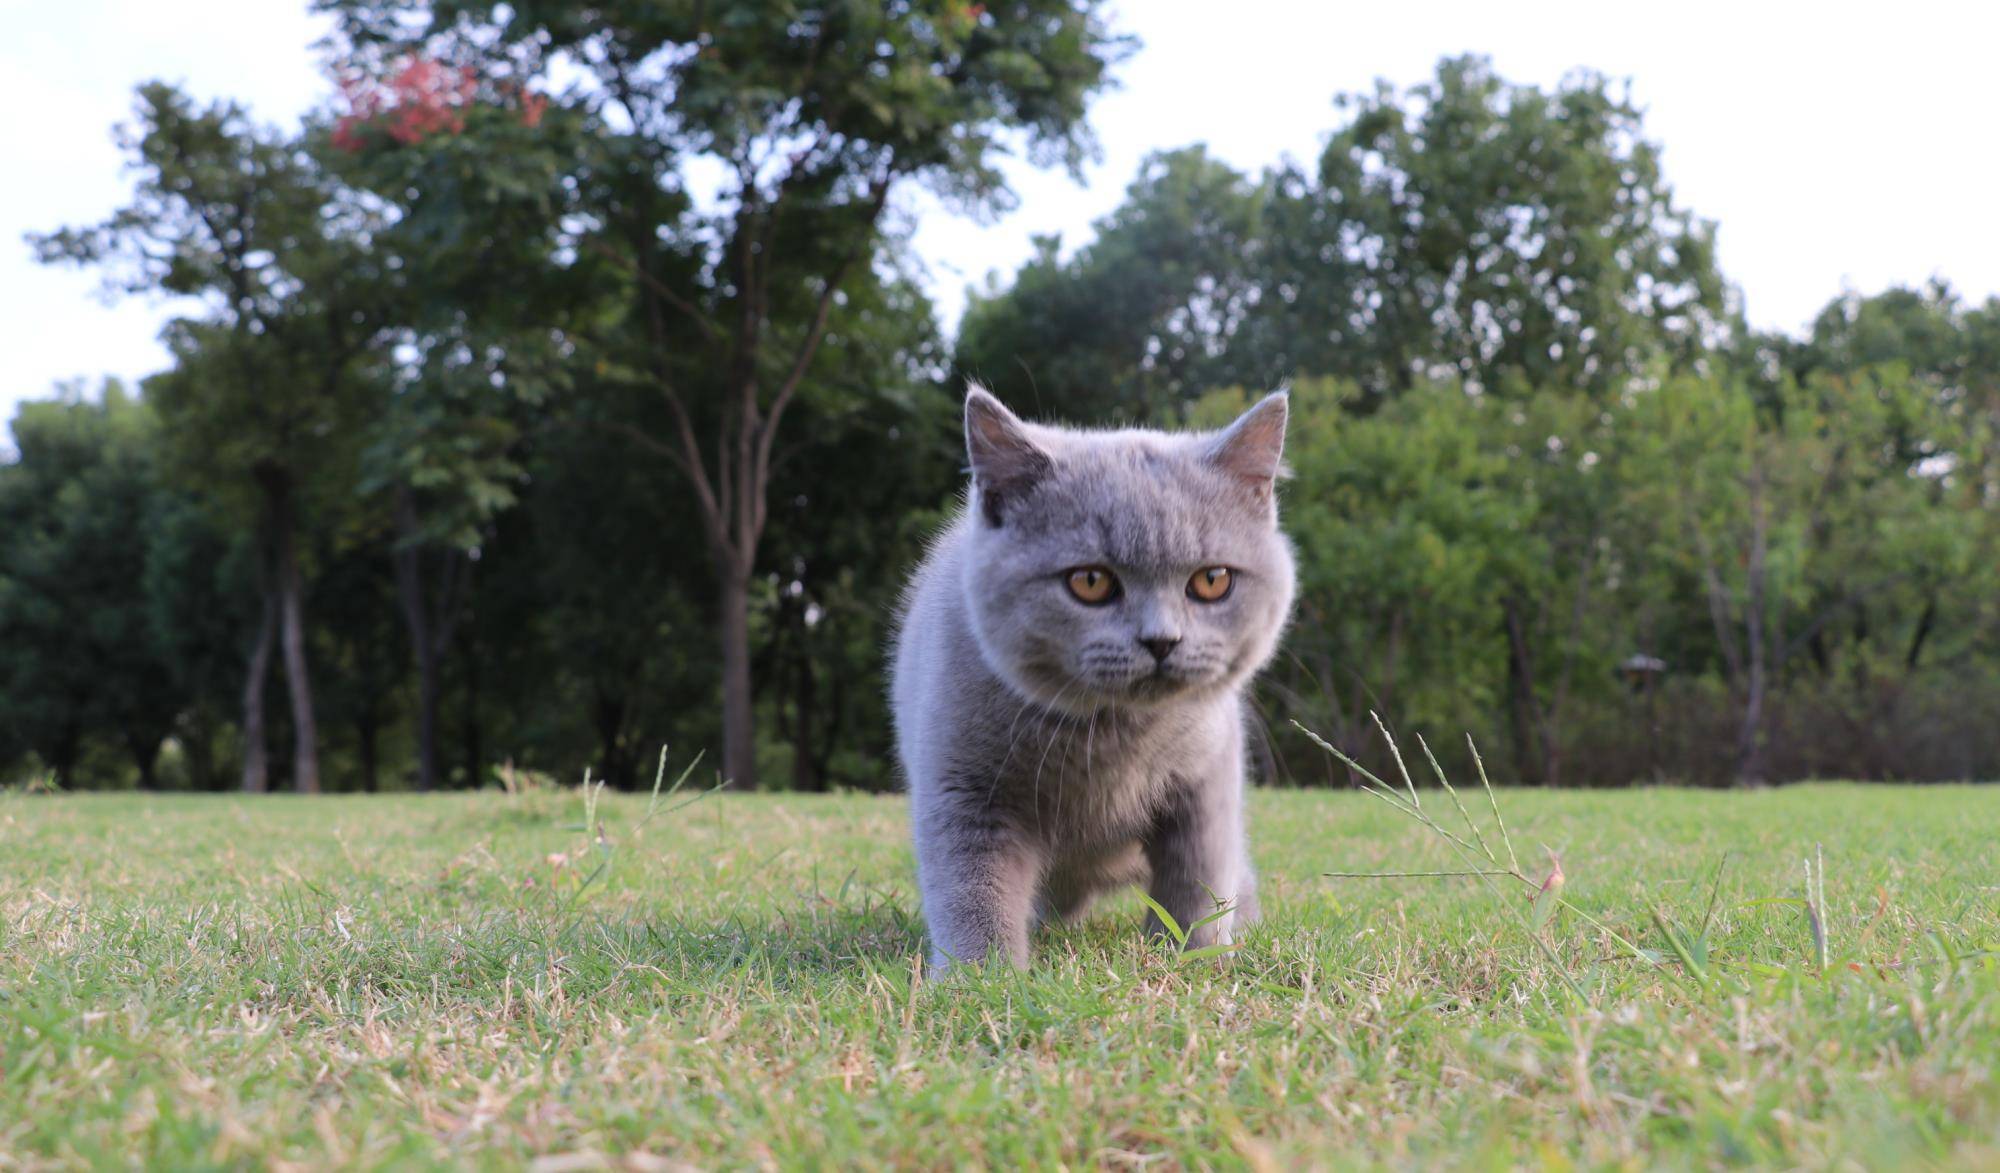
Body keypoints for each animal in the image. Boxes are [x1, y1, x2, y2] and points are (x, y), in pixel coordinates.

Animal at [896, 388, 1296, 964]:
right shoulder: (964, 789)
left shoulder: (1208, 779)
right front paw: (983, 975)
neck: (1111, 738)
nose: (1162, 640)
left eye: (1212, 581)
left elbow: (1196, 878)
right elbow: (972, 889)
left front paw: (1192, 956)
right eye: (1089, 581)